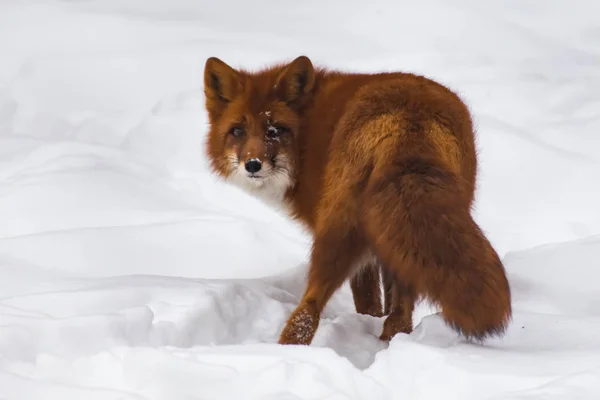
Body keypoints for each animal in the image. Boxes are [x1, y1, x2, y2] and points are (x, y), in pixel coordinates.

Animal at [202, 54, 510, 346]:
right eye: (238, 131)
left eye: (274, 130)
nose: (253, 165)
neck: (306, 135)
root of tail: (408, 118)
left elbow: (367, 300)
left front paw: (367, 319)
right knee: (400, 316)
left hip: (337, 231)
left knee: (309, 309)